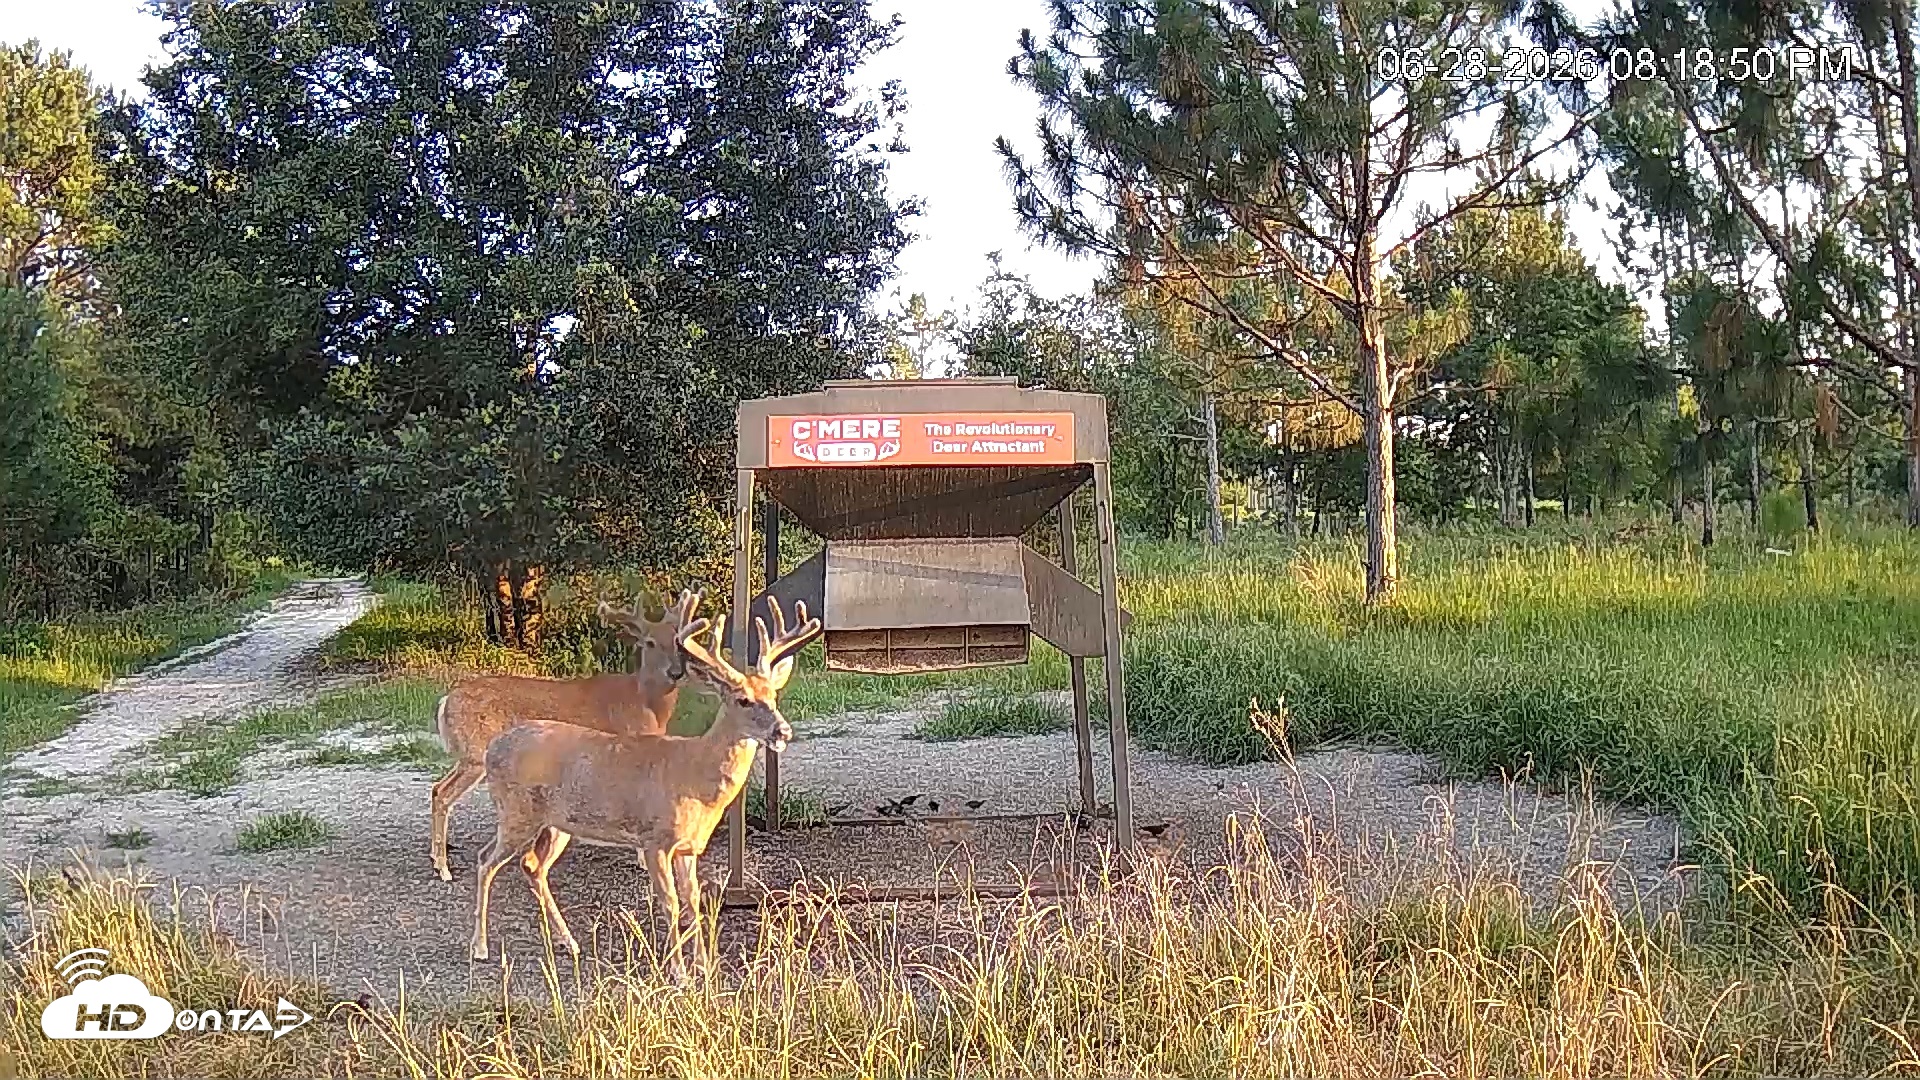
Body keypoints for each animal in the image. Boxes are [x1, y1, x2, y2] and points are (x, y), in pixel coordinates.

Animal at [430, 590, 702, 882]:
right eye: (649, 642)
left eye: (677, 641)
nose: (676, 672)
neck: (645, 703)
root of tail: (447, 700)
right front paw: (642, 859)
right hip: (476, 753)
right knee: (443, 793)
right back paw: (444, 869)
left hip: (469, 756)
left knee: (436, 789)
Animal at [469, 596, 821, 973]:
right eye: (743, 699)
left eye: (774, 696)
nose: (782, 731)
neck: (693, 774)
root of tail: (493, 748)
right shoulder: (655, 840)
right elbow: (670, 903)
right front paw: (679, 972)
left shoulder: (688, 847)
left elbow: (693, 900)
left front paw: (704, 965)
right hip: (516, 811)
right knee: (486, 860)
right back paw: (480, 946)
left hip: (556, 823)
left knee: (533, 865)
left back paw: (569, 942)